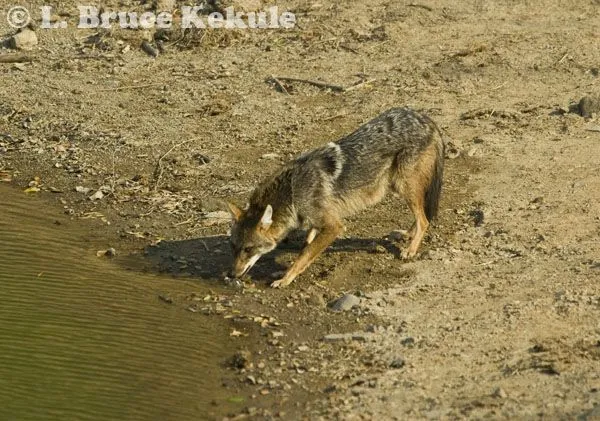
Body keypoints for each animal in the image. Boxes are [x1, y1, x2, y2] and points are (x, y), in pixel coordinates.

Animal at [227, 106, 442, 288]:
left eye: (248, 249)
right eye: (234, 247)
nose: (230, 274)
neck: (292, 192)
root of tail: (425, 117)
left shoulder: (334, 226)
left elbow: (305, 255)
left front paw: (285, 279)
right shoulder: (317, 221)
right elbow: (306, 246)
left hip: (404, 187)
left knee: (424, 220)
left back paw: (411, 250)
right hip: (400, 187)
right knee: (422, 216)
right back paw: (407, 234)